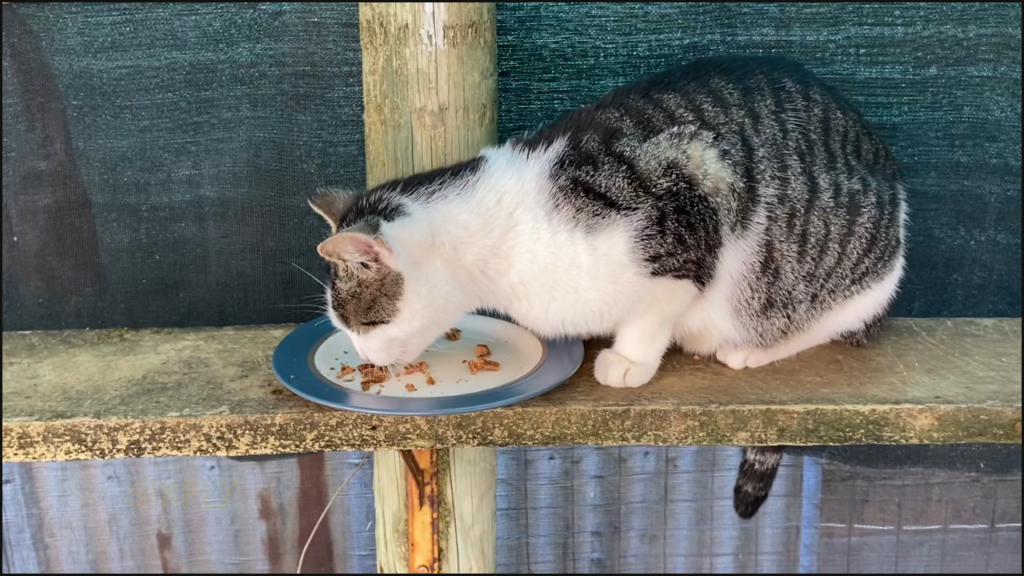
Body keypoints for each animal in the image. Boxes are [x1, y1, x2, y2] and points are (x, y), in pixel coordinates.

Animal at [307, 56, 909, 518]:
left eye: (365, 322)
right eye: (345, 328)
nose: (364, 355)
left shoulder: (691, 201)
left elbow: (657, 308)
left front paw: (631, 358)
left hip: (851, 270)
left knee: (835, 321)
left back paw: (749, 348)